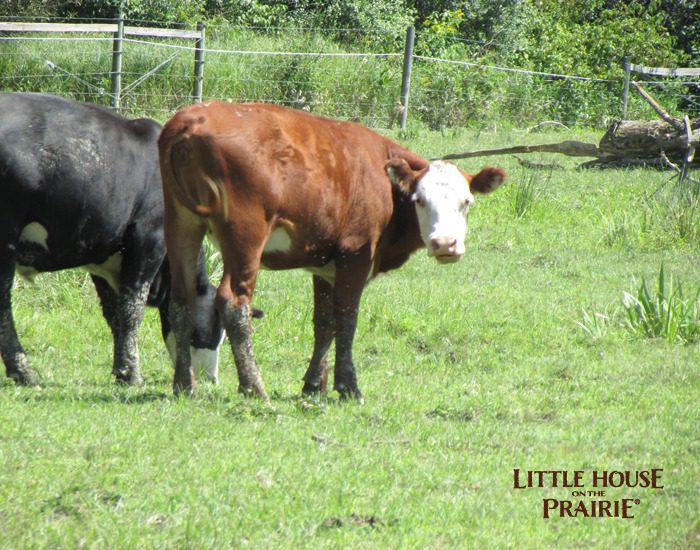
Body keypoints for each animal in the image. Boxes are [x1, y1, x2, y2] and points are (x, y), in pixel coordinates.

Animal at [0, 94, 223, 388]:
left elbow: (114, 313)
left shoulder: (103, 258)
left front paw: (121, 370)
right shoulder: (148, 241)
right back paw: (23, 371)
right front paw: (133, 374)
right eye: (214, 328)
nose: (212, 379)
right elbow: (131, 309)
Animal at [159, 102, 506, 402]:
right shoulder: (356, 254)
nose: (445, 243)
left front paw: (315, 385)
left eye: (466, 201)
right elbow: (346, 318)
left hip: (181, 225)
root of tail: (193, 119)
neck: (384, 182)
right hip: (245, 235)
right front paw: (348, 386)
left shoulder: (325, 268)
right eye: (420, 200)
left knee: (181, 299)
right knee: (233, 303)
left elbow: (323, 322)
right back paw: (254, 387)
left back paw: (184, 384)